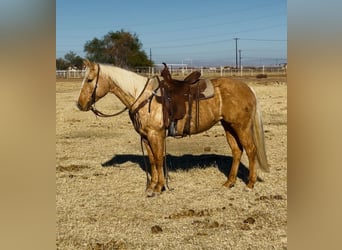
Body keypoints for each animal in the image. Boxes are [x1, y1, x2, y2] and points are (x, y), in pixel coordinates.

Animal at [77, 60, 270, 195]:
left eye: (89, 79)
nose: (79, 104)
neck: (143, 96)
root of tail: (248, 88)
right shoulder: (146, 137)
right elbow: (152, 161)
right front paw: (151, 187)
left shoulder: (155, 135)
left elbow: (158, 159)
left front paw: (158, 188)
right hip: (228, 126)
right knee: (237, 151)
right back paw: (229, 183)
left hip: (241, 126)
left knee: (251, 150)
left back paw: (249, 185)